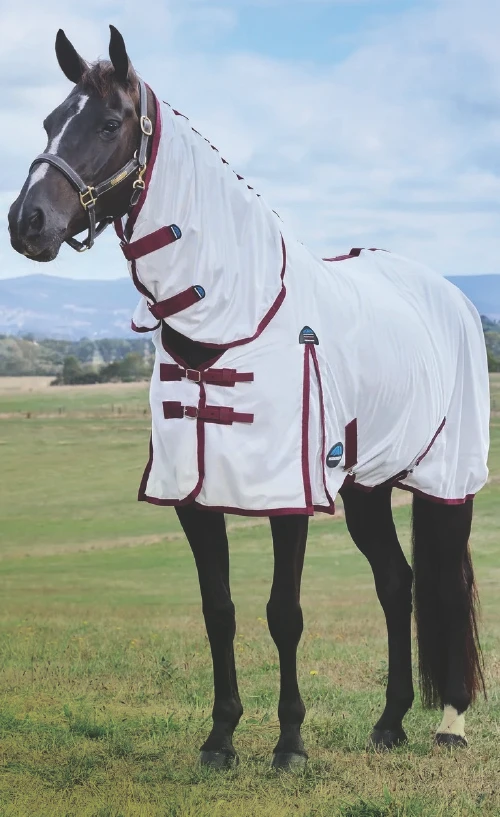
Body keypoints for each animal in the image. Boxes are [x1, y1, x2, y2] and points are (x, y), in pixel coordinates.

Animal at [8, 27, 489, 771]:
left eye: (110, 123)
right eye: (50, 120)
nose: (27, 221)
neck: (238, 317)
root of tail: (447, 293)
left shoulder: (287, 496)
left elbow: (282, 613)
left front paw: (289, 742)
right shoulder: (194, 497)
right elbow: (220, 611)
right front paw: (221, 737)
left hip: (445, 481)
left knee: (444, 582)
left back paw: (451, 719)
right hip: (367, 487)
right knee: (397, 583)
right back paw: (389, 722)